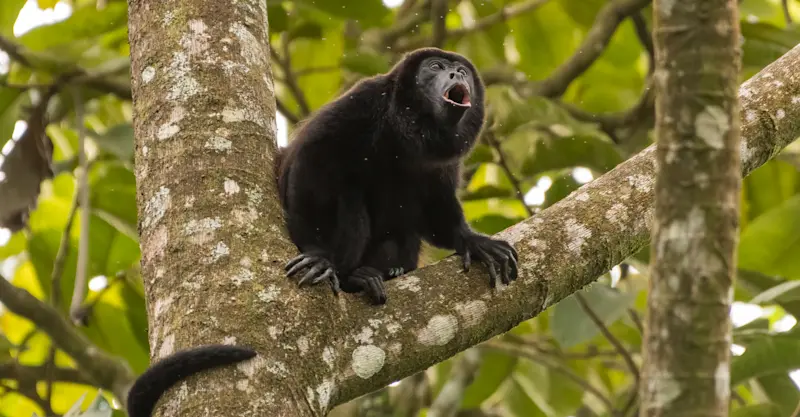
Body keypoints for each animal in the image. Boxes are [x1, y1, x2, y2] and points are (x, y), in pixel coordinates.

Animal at [275, 47, 518, 305]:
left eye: (462, 71)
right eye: (436, 67)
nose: (456, 74)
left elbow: (436, 202)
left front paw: (472, 240)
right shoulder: (362, 102)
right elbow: (312, 164)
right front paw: (318, 254)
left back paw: (389, 271)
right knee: (349, 197)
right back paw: (354, 277)